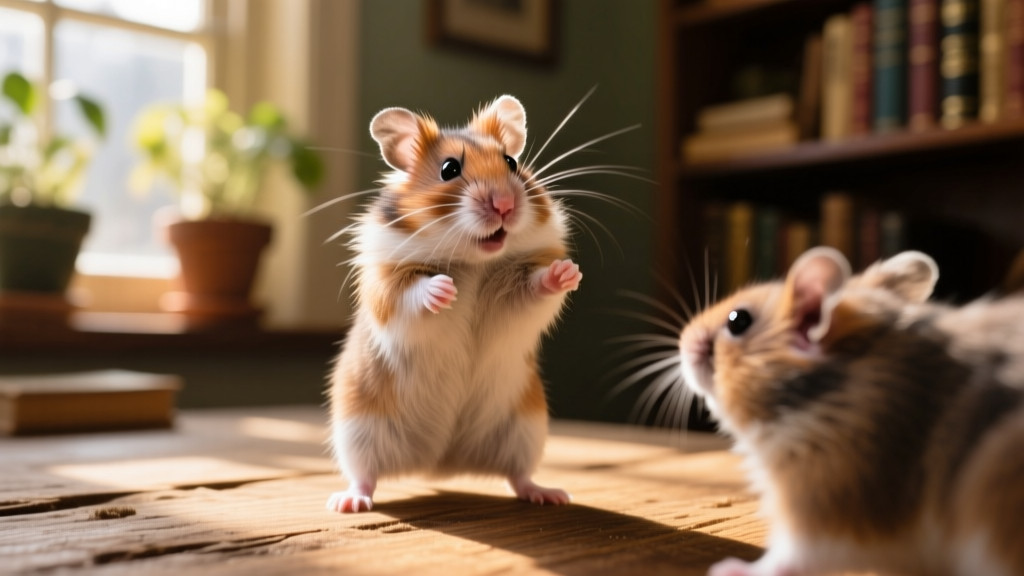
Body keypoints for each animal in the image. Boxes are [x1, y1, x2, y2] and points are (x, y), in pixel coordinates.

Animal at [326, 96, 579, 513]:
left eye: (511, 162)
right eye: (449, 169)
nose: (505, 205)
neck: (473, 263)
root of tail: (438, 463)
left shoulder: (518, 297)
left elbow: (536, 287)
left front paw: (567, 273)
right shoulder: (385, 284)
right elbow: (411, 295)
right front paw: (443, 289)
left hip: (525, 429)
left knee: (519, 476)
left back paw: (551, 495)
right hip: (358, 430)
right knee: (365, 476)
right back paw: (349, 503)